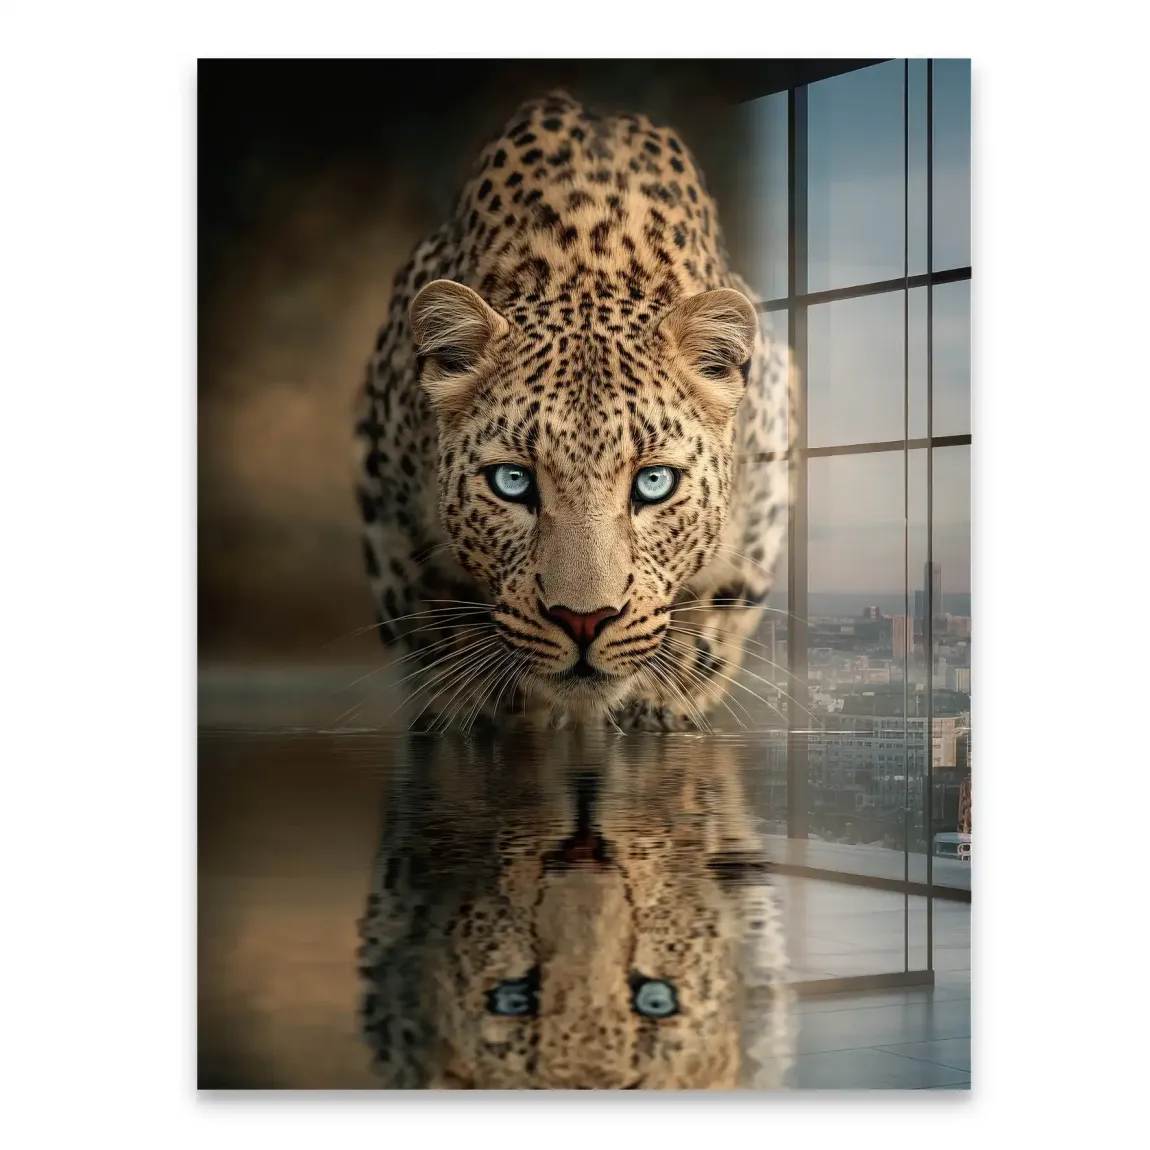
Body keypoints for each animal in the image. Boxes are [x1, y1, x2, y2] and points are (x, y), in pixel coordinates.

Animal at [355, 90, 791, 732]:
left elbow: (715, 615)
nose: (584, 620)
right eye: (511, 482)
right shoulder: (388, 513)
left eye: (655, 483)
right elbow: (435, 628)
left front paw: (660, 703)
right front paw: (482, 709)